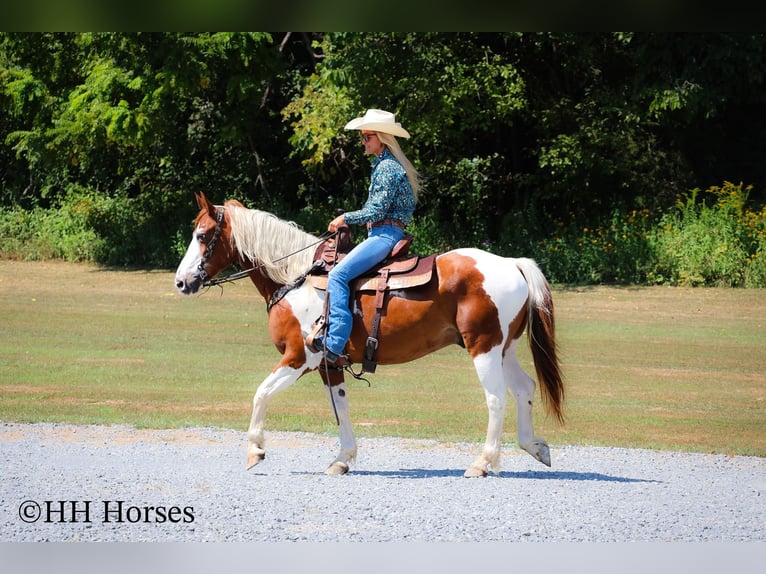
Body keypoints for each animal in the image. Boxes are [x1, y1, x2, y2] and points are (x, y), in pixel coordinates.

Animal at [174, 192, 564, 477]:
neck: (296, 278)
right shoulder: (330, 364)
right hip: (504, 348)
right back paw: (535, 447)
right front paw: (342, 459)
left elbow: (261, 394)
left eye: (202, 236)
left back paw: (482, 463)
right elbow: (341, 407)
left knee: (497, 398)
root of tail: (511, 263)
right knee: (524, 388)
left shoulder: (300, 357)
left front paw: (255, 449)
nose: (181, 282)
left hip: (483, 347)